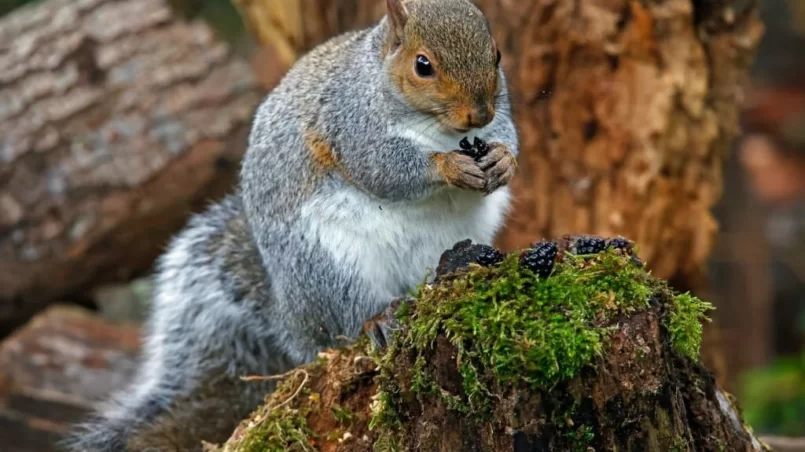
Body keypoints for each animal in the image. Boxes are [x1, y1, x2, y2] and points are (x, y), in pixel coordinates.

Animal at [61, 0, 516, 448]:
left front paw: (503, 160)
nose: (478, 114)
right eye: (423, 65)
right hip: (328, 269)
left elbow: (508, 136)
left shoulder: (499, 118)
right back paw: (378, 318)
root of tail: (288, 317)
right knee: (340, 327)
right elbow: (385, 169)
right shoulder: (351, 124)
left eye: (497, 54)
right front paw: (447, 166)